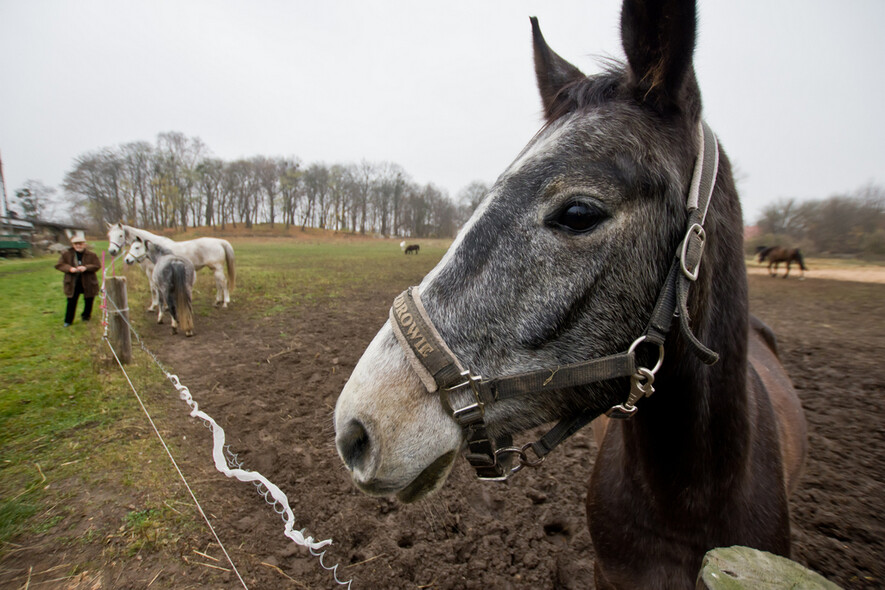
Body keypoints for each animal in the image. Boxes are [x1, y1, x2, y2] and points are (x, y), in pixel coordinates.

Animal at [106, 222, 235, 310]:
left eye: (120, 235)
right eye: (109, 235)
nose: (112, 251)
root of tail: (220, 241)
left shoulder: (151, 272)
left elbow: (154, 289)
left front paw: (155, 306)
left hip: (217, 269)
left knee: (223, 283)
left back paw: (225, 302)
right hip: (214, 269)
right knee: (218, 284)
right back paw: (217, 301)